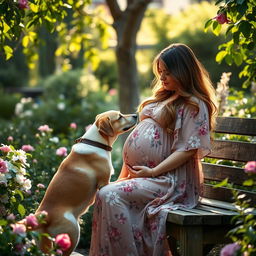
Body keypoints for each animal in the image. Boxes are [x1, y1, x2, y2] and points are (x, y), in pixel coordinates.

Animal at [35, 111, 138, 255]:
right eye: (119, 116)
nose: (136, 114)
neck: (95, 142)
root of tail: (43, 216)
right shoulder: (105, 183)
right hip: (73, 232)